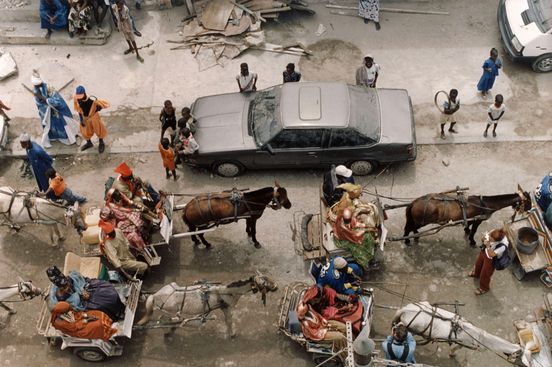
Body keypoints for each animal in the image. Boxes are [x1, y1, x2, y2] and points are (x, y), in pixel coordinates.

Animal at [136, 272, 278, 338]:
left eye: (267, 276)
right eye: (264, 282)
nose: (277, 286)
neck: (225, 291)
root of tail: (154, 295)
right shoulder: (227, 308)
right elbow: (229, 321)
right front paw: (232, 334)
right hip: (168, 310)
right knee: (162, 320)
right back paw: (170, 329)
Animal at [392, 304, 532, 366]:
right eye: (520, 357)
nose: (522, 365)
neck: (479, 337)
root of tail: (406, 309)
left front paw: (452, 353)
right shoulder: (466, 344)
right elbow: (459, 349)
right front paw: (452, 353)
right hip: (409, 328)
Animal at [404, 188, 532, 246]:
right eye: (528, 201)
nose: (530, 209)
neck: (484, 203)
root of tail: (414, 202)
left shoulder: (472, 218)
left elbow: (468, 225)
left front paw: (467, 230)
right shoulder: (478, 219)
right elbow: (474, 230)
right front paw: (472, 240)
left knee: (411, 227)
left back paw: (415, 235)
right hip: (421, 221)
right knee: (408, 228)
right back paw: (407, 240)